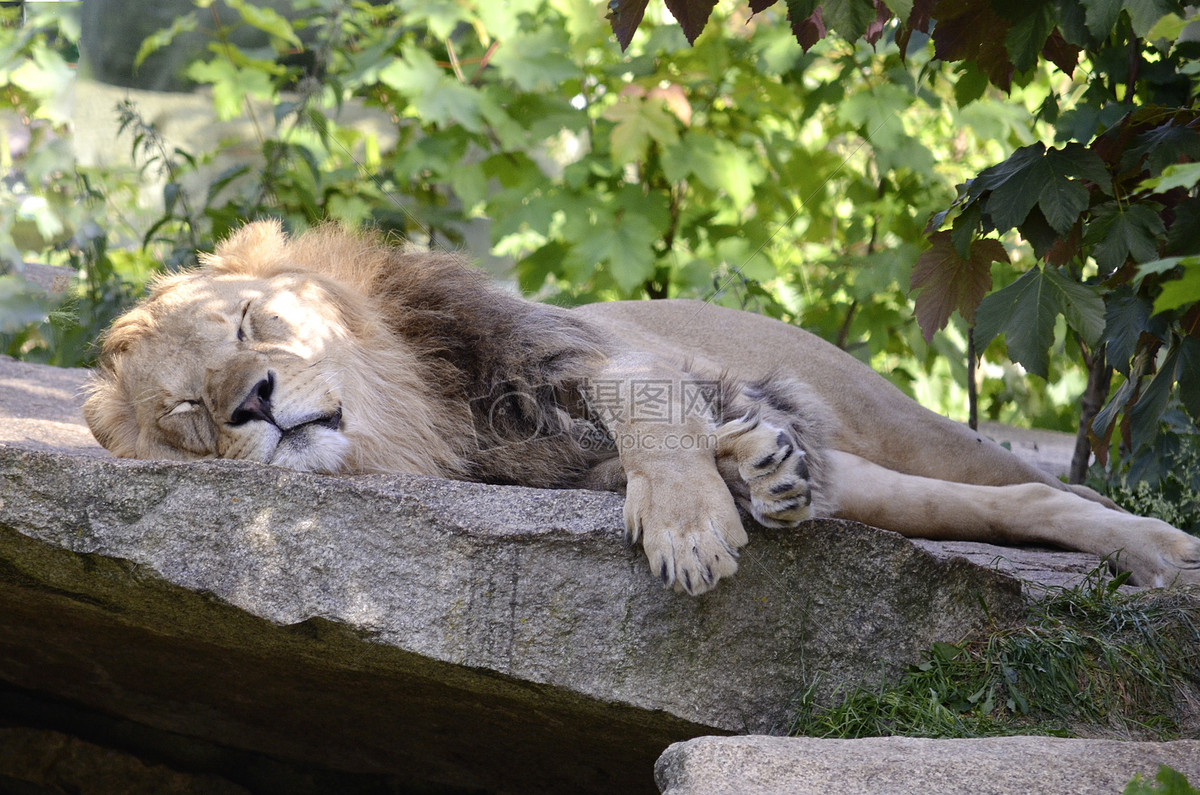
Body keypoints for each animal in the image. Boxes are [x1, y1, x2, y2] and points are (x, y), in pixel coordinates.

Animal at [84, 220, 1200, 595]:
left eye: (247, 323)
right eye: (189, 412)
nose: (255, 403)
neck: (423, 416)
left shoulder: (586, 352)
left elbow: (646, 403)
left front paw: (693, 520)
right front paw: (748, 470)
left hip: (908, 428)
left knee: (1030, 488)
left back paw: (1163, 546)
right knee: (1021, 508)